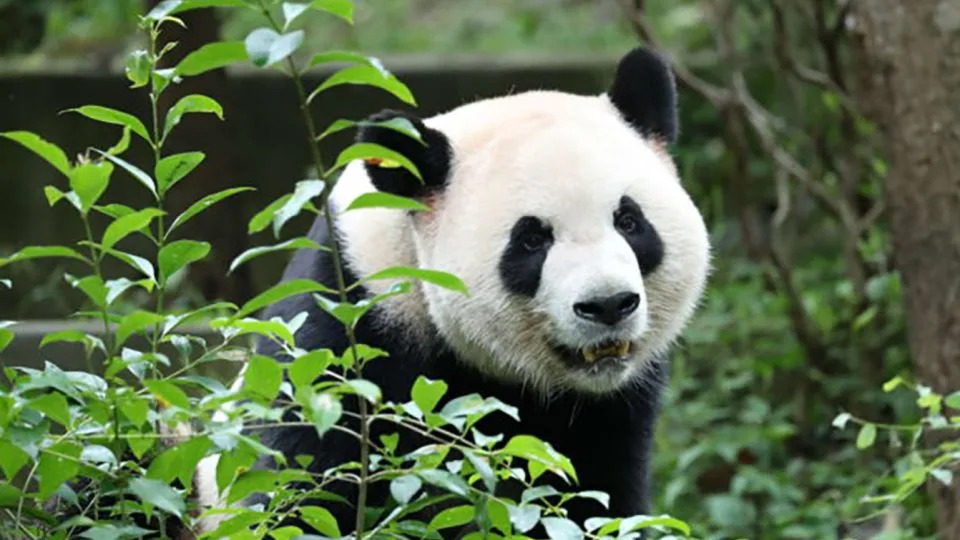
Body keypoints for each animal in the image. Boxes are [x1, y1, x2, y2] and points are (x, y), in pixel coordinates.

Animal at [195, 46, 710, 535]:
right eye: (531, 240)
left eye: (629, 221)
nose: (607, 305)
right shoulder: (347, 327)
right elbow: (300, 486)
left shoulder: (613, 409)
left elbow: (596, 500)